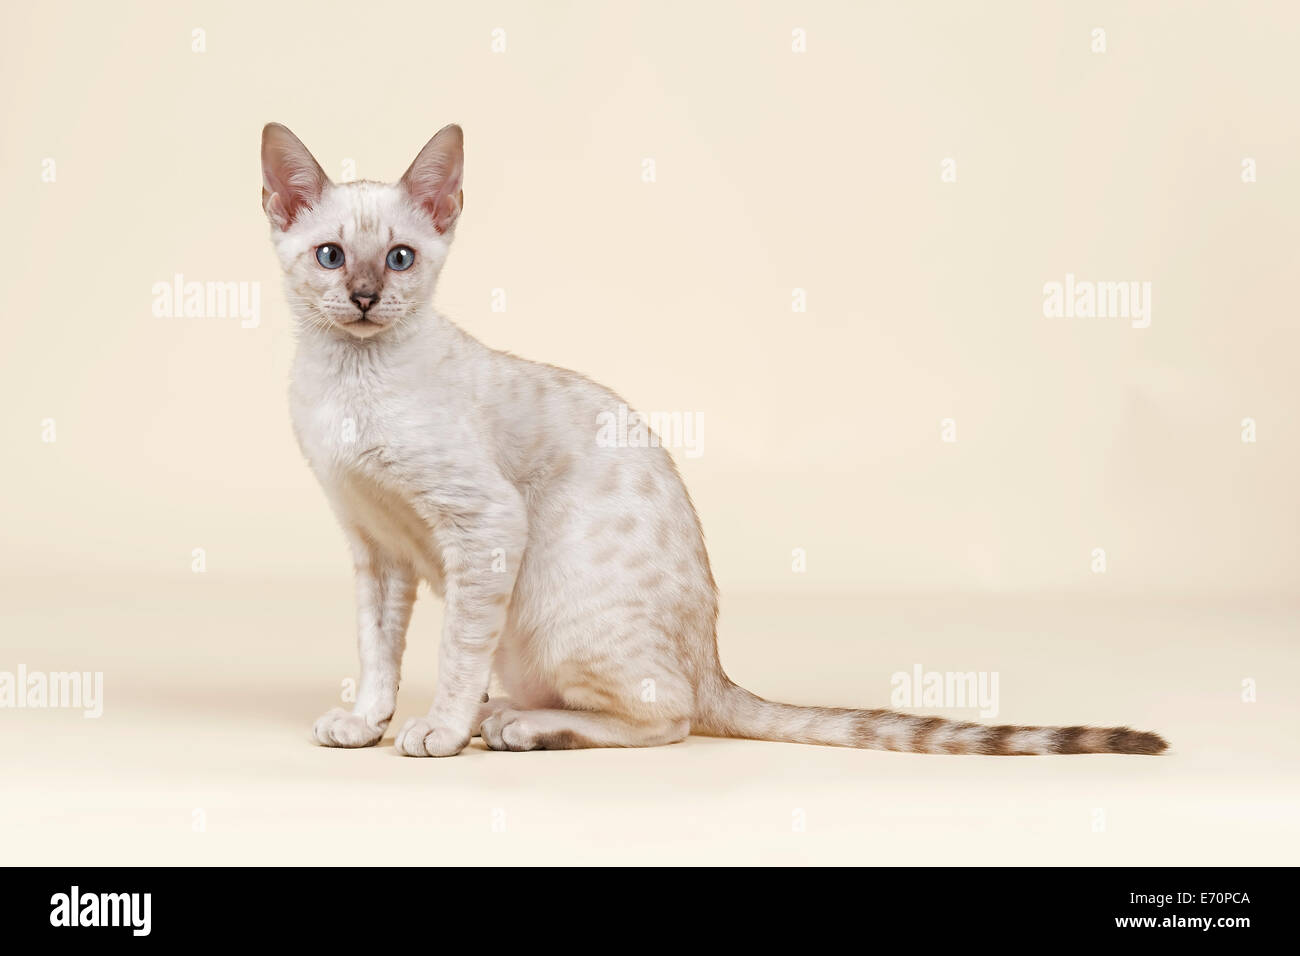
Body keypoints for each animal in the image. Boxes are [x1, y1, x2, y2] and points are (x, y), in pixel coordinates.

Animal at [261, 123, 1170, 759]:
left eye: (400, 258)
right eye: (332, 256)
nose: (366, 297)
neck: (349, 383)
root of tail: (716, 661)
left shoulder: (481, 524)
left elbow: (455, 652)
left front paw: (438, 730)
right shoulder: (376, 546)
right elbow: (377, 650)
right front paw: (367, 720)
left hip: (552, 607)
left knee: (670, 716)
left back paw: (518, 723)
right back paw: (508, 711)